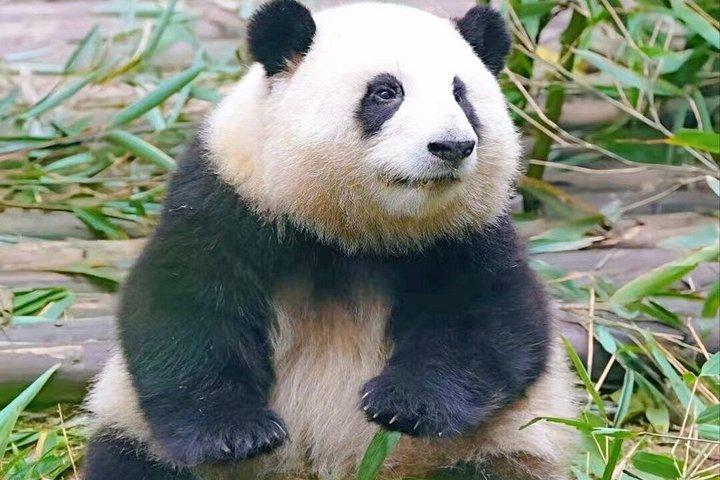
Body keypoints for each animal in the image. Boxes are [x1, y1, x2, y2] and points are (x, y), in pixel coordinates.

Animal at [82, 1, 578, 479]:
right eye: (386, 92)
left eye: (461, 94)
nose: (451, 146)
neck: (354, 231)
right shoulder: (230, 200)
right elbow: (183, 309)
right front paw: (235, 434)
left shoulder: (467, 231)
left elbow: (494, 318)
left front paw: (403, 404)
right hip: (133, 430)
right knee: (130, 460)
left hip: (497, 445)